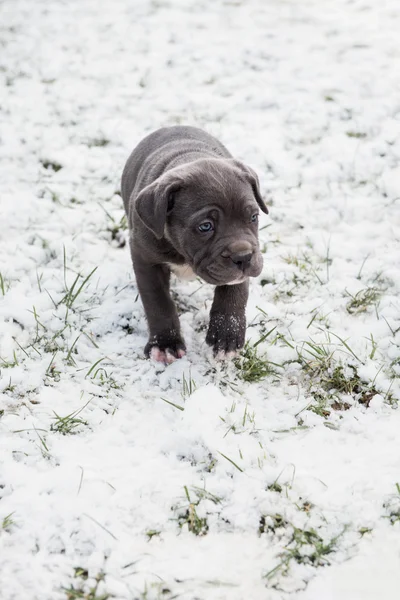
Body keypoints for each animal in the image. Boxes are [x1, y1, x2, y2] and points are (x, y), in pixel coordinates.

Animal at [120, 124, 268, 364]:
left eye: (253, 217)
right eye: (205, 226)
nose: (244, 257)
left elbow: (234, 292)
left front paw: (226, 335)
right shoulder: (145, 258)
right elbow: (157, 301)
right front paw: (165, 344)